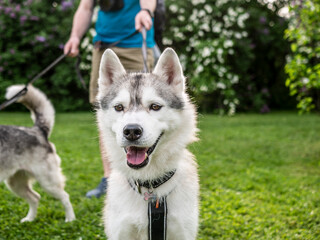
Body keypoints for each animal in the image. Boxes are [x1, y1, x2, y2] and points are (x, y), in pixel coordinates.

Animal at [0, 85, 75, 223]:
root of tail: (38, 130)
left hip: (48, 182)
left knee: (65, 196)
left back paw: (70, 220)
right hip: (16, 183)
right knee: (35, 197)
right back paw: (29, 219)